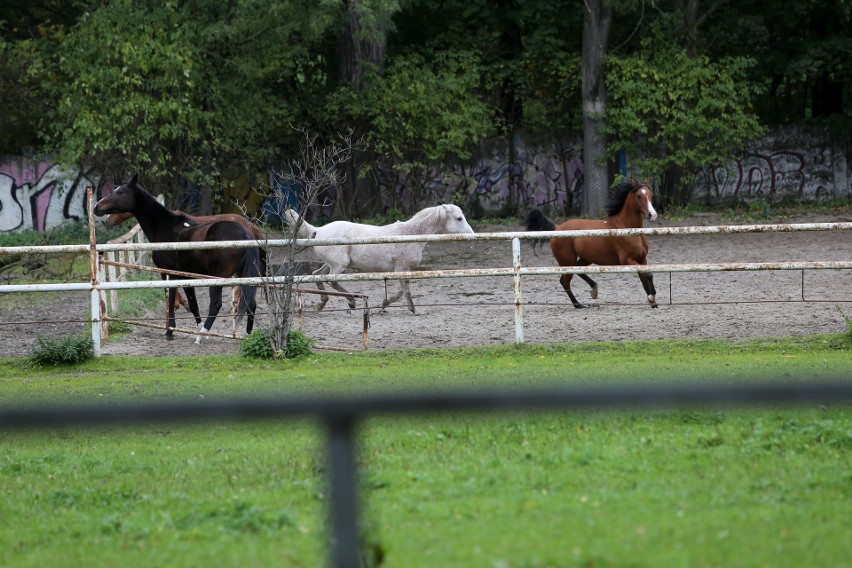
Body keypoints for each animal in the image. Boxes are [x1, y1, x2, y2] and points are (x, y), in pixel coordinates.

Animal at [92, 173, 260, 342]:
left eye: (120, 192)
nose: (97, 208)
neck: (166, 227)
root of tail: (245, 233)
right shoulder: (186, 276)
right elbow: (193, 304)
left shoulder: (168, 273)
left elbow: (171, 300)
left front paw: (169, 331)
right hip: (242, 275)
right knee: (250, 301)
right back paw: (247, 335)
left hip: (219, 277)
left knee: (216, 303)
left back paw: (201, 335)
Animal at [284, 204, 472, 312]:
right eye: (459, 218)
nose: (471, 235)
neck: (409, 234)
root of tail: (319, 230)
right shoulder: (401, 268)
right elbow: (406, 289)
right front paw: (412, 309)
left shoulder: (404, 269)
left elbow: (403, 289)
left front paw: (385, 303)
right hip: (340, 265)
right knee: (331, 280)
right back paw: (351, 301)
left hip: (331, 264)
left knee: (317, 275)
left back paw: (323, 303)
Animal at [524, 179, 660, 308]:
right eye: (638, 196)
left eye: (650, 194)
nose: (652, 215)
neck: (626, 227)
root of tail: (557, 228)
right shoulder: (627, 260)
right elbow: (647, 274)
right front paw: (651, 298)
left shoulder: (642, 258)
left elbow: (646, 277)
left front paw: (652, 301)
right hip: (567, 261)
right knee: (564, 281)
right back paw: (578, 304)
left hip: (584, 259)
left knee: (577, 272)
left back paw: (593, 290)